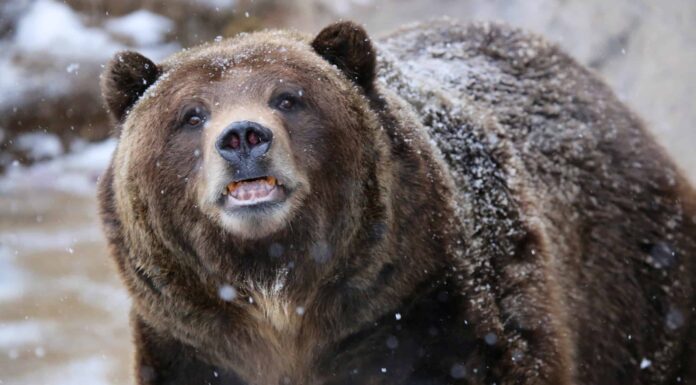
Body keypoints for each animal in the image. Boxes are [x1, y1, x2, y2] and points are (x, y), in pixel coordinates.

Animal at [99, 18, 696, 384]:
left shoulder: (429, 319)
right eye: (191, 114)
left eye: (288, 98)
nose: (244, 137)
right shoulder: (191, 346)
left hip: (638, 287)